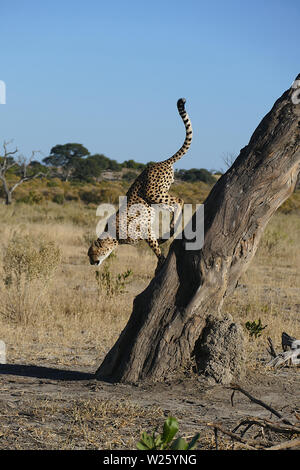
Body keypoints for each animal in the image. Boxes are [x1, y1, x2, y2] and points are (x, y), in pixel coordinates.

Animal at [88, 97, 193, 270]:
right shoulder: (147, 229)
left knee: (179, 200)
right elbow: (155, 242)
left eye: (92, 253)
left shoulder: (145, 231)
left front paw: (161, 261)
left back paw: (171, 228)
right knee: (173, 205)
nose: (91, 262)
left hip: (153, 193)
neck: (113, 237)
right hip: (155, 199)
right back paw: (170, 230)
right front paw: (162, 245)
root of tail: (159, 163)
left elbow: (155, 248)